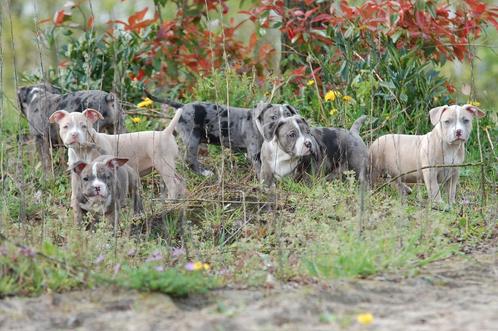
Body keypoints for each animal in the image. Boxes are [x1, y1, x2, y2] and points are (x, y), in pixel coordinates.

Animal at [49, 108, 186, 202]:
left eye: (84, 126)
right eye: (65, 126)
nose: (75, 134)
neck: (82, 151)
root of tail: (165, 133)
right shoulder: (76, 174)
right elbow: (74, 193)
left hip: (164, 165)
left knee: (173, 185)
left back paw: (170, 203)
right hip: (169, 165)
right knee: (180, 180)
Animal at [145, 91, 300, 178]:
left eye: (288, 115)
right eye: (273, 117)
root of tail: (181, 107)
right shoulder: (255, 154)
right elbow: (260, 168)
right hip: (192, 138)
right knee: (190, 159)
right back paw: (205, 173)